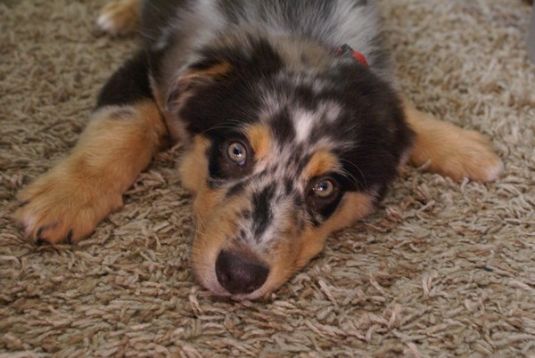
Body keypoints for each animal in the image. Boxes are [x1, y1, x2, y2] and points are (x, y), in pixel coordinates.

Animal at [14, 0, 504, 300]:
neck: (299, 35)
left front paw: (465, 148)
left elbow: (400, 112)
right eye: (236, 152)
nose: (239, 276)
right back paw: (118, 13)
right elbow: (124, 124)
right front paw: (66, 200)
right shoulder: (150, 65)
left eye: (324, 188)